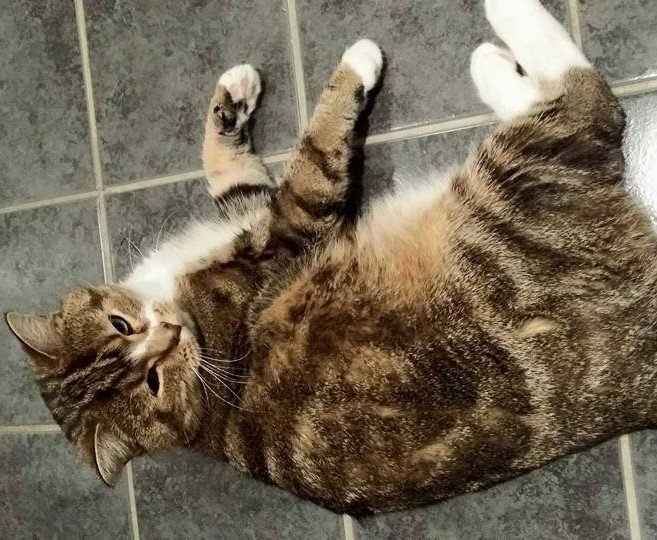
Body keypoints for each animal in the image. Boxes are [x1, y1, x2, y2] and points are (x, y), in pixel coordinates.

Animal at [6, 0, 657, 515]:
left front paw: (233, 96)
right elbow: (317, 149)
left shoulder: (251, 209)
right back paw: (496, 47)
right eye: (153, 381)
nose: (164, 332)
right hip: (513, 182)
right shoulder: (291, 226)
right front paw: (358, 65)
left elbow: (224, 166)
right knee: (588, 104)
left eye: (121, 325)